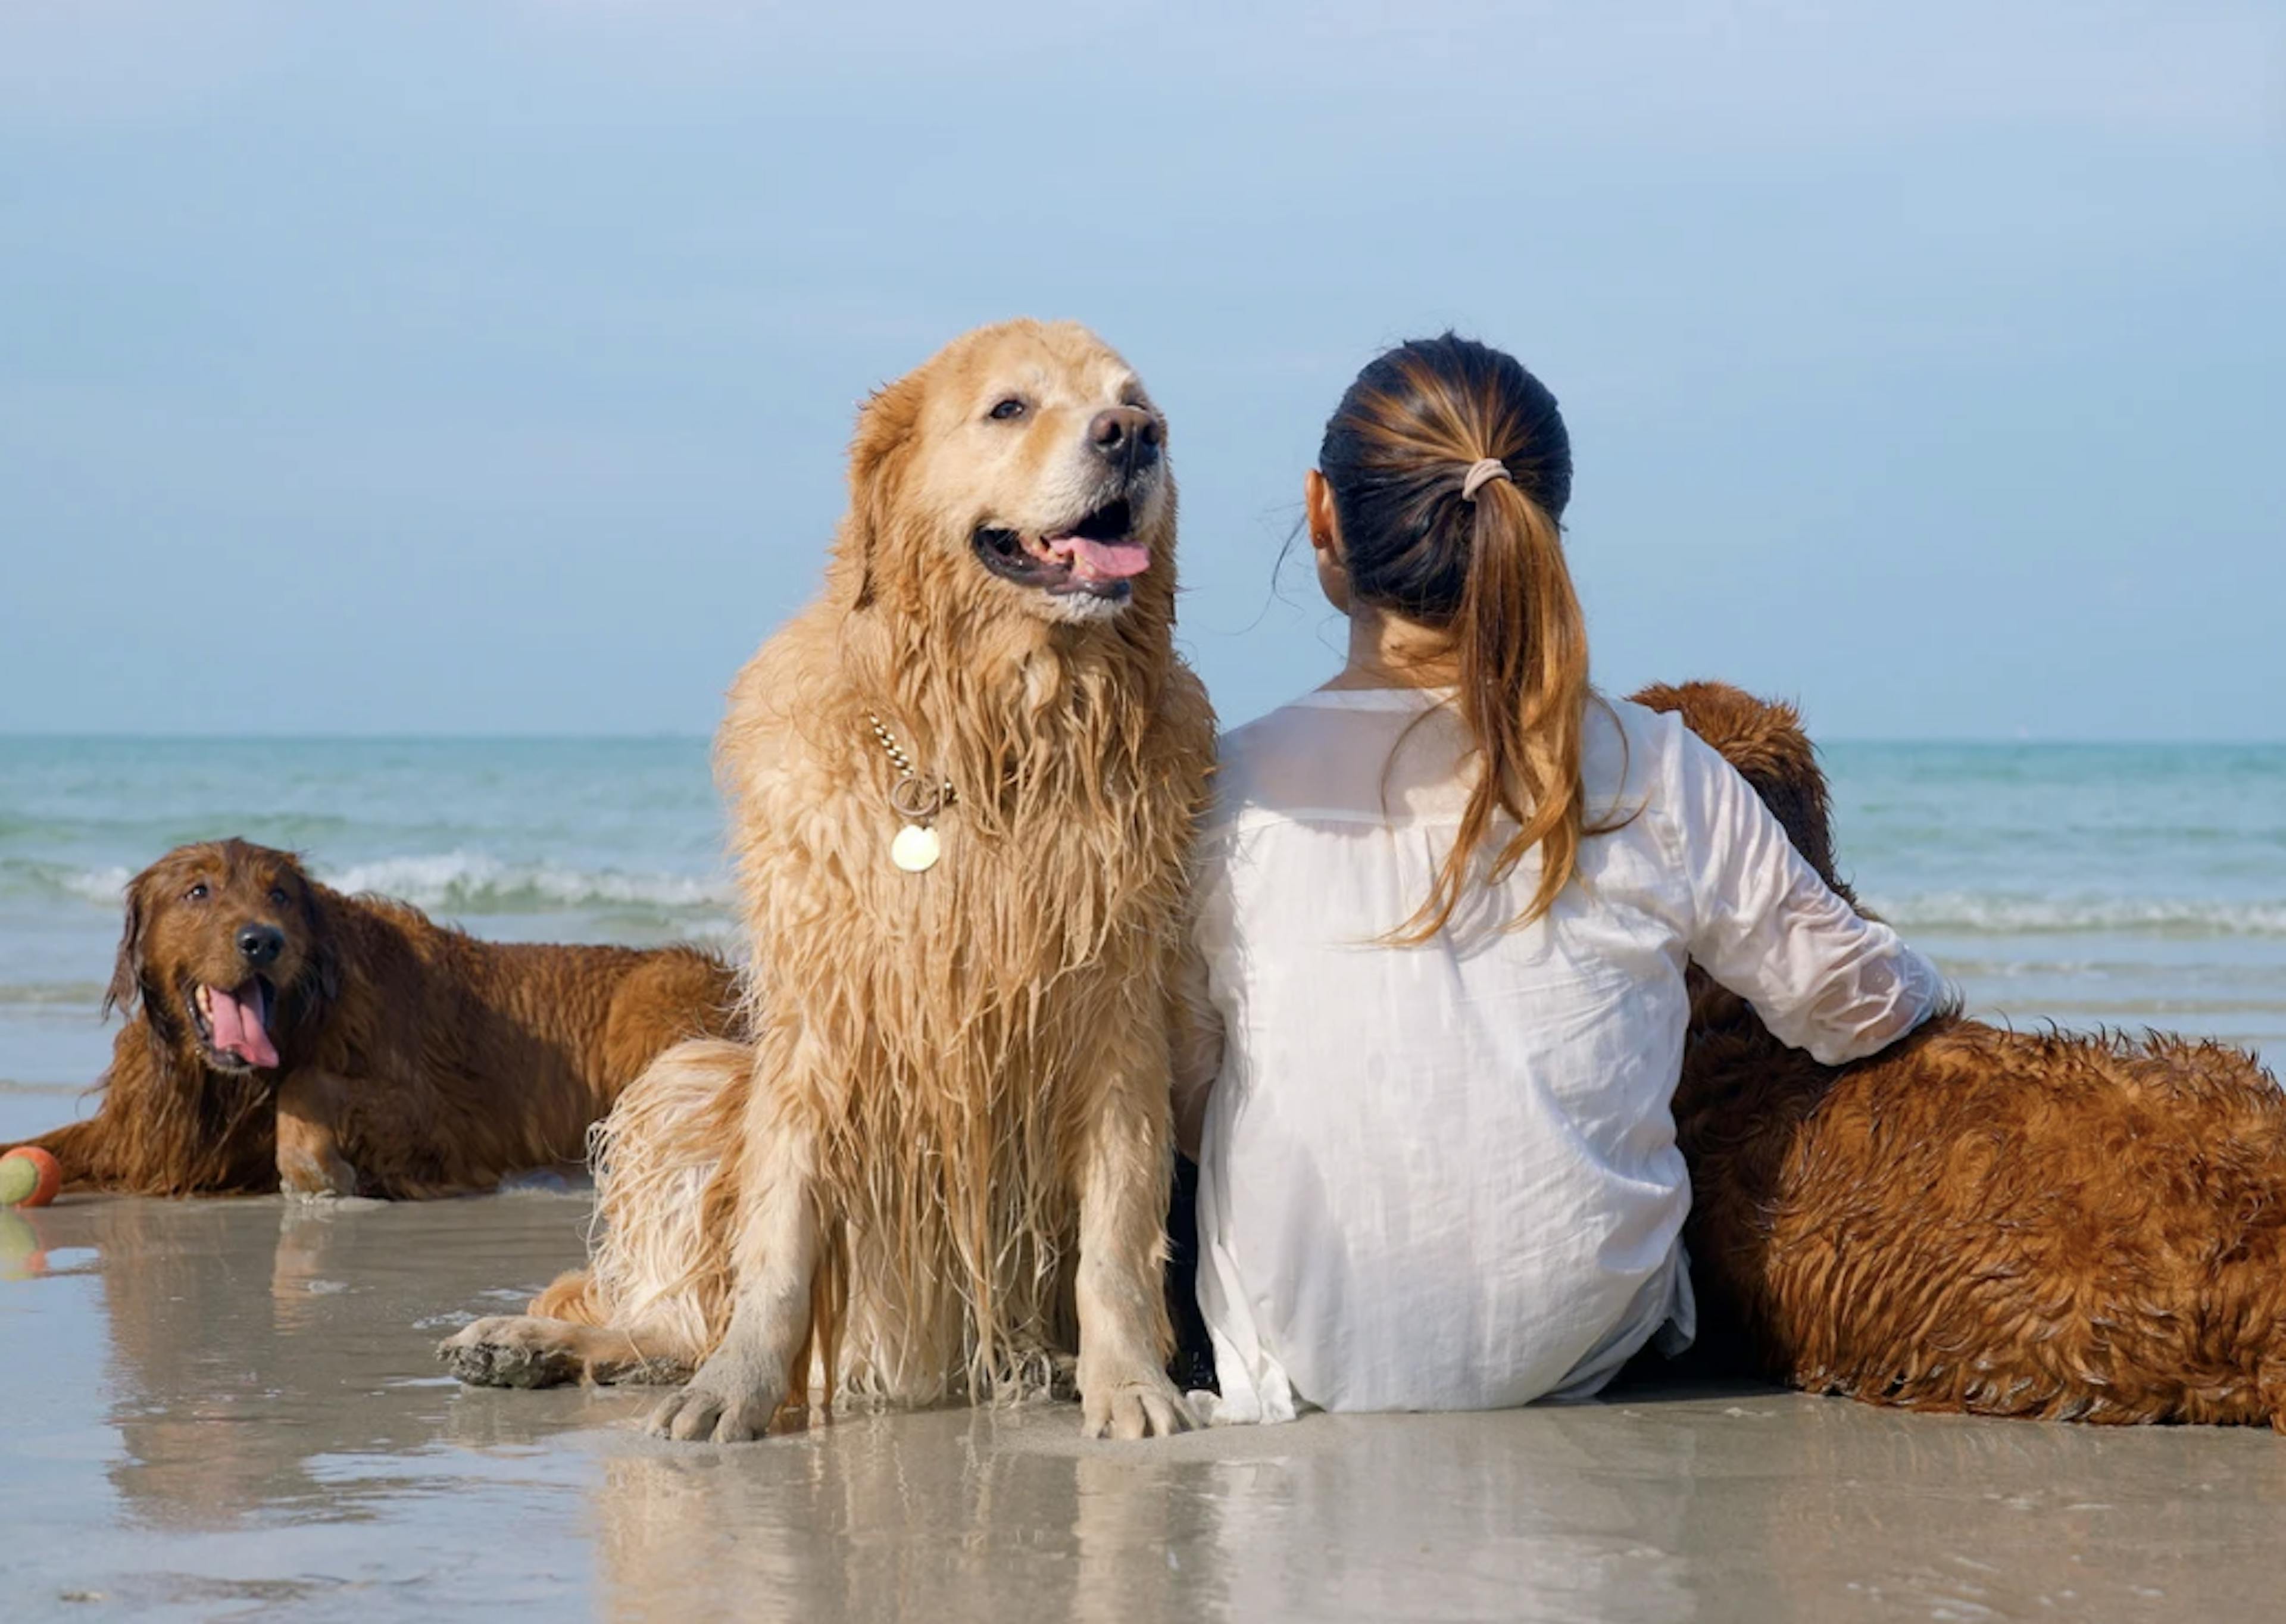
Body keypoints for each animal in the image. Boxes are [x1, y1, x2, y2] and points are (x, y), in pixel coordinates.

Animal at [7, 846, 741, 1198]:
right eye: (198, 890)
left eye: (280, 894)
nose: (262, 942)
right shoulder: (138, 1133)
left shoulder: (439, 1120)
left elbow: (307, 1083)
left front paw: (315, 1168)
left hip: (655, 1004)